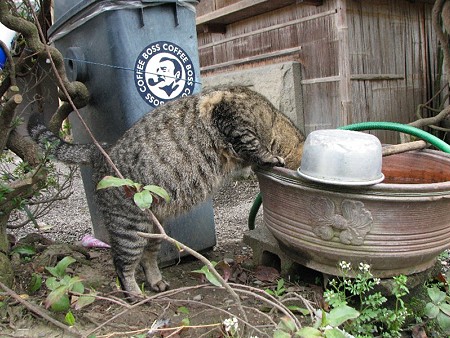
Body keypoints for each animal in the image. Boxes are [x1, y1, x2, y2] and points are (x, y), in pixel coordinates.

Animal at [27, 86, 302, 300]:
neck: (275, 122)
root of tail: (100, 151)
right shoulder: (227, 112)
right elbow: (252, 143)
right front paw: (268, 157)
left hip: (154, 229)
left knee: (148, 258)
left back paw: (155, 281)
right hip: (129, 229)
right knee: (122, 264)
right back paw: (133, 294)